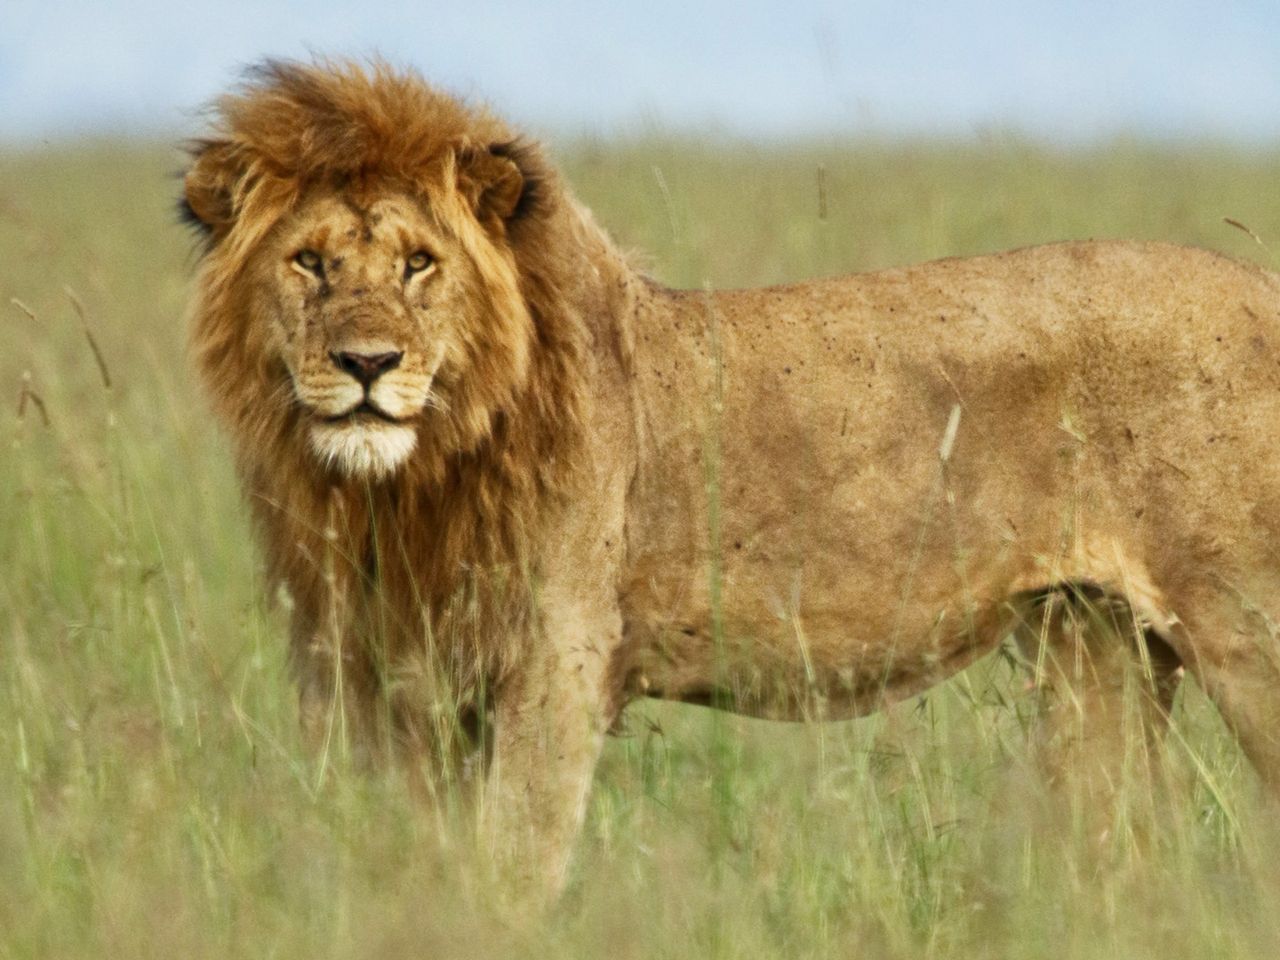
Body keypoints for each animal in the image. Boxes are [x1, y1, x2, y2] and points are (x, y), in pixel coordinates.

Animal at [182, 58, 1280, 895]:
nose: (367, 364)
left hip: (1240, 636)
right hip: (1096, 648)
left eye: (418, 263)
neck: (407, 482)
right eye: (309, 263)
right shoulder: (378, 678)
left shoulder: (557, 663)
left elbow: (511, 872)